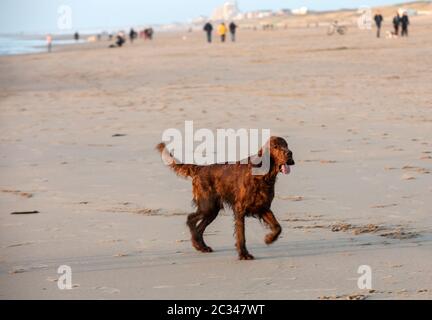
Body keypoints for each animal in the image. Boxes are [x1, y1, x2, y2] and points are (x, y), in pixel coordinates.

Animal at [157, 137, 296, 260]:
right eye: (275, 146)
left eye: (286, 145)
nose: (289, 153)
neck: (262, 175)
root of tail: (200, 168)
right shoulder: (240, 209)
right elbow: (241, 234)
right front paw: (244, 254)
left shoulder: (263, 207)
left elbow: (278, 227)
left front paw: (269, 239)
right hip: (207, 206)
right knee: (191, 219)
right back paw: (197, 243)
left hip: (212, 210)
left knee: (199, 227)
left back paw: (202, 246)